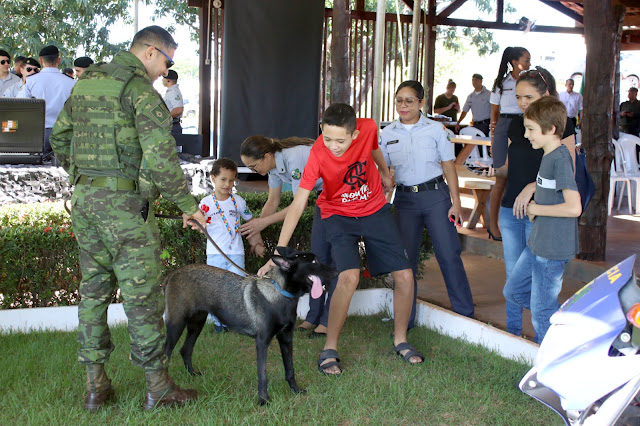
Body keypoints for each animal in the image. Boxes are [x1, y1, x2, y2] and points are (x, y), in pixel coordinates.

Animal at [162, 245, 338, 404]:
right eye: (314, 261)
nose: (336, 272)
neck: (280, 294)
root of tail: (172, 274)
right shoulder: (262, 343)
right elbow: (263, 374)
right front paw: (263, 400)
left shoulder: (286, 338)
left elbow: (290, 368)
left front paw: (295, 390)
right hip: (177, 325)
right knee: (165, 353)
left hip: (196, 323)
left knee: (185, 350)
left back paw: (192, 374)